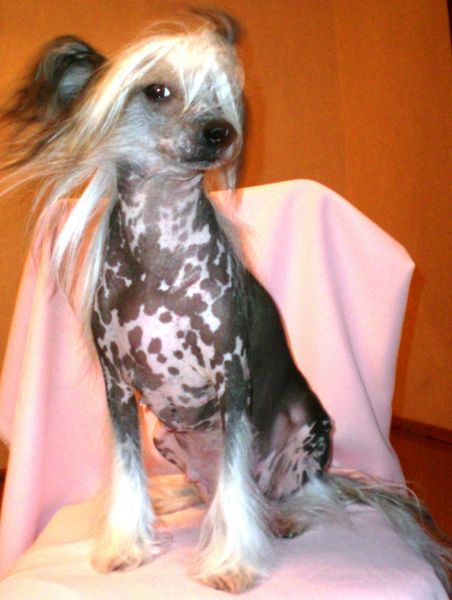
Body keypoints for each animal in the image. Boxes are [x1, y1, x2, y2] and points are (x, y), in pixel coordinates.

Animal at [1, 9, 450, 594]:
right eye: (157, 90)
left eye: (222, 95)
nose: (220, 131)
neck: (162, 253)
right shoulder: (118, 392)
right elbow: (127, 472)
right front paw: (127, 545)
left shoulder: (233, 384)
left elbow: (238, 488)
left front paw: (231, 563)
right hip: (167, 438)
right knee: (212, 490)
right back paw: (182, 502)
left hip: (310, 436)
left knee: (285, 492)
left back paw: (283, 517)